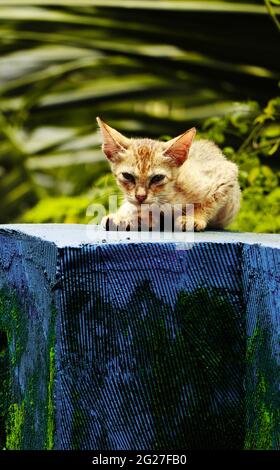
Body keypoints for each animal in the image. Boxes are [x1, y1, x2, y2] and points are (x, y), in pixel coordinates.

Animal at [96, 117, 241, 231]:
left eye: (157, 178)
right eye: (127, 176)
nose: (140, 197)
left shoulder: (226, 172)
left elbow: (208, 202)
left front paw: (193, 218)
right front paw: (124, 217)